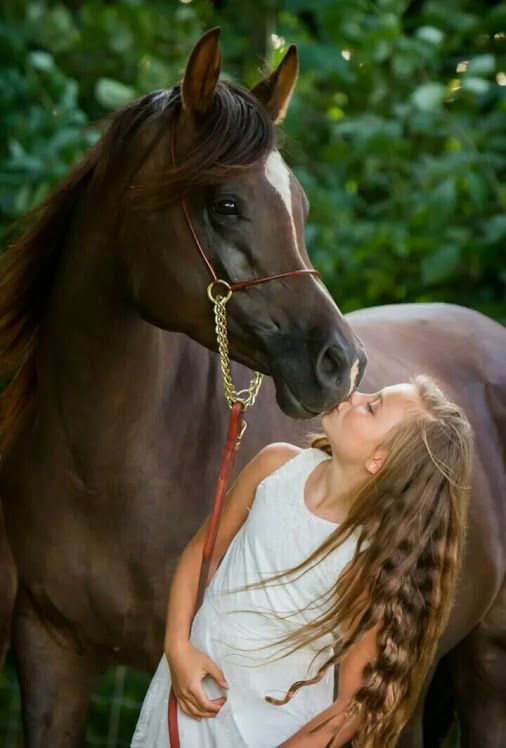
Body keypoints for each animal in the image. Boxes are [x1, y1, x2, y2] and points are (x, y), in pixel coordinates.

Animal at [0, 26, 504, 744]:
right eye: (226, 204)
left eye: (299, 206)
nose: (340, 363)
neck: (103, 466)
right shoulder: (50, 652)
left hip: (489, 663)